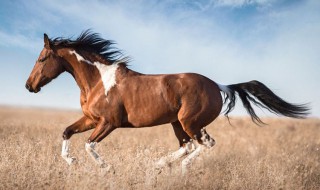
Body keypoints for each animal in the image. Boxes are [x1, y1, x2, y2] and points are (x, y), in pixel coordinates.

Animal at [25, 30, 310, 174]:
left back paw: (178, 168)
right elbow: (67, 132)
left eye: (42, 58)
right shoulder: (91, 119)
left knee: (204, 144)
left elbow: (89, 145)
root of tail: (218, 86)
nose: (29, 86)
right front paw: (71, 162)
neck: (98, 80)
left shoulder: (108, 122)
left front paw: (106, 168)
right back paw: (160, 164)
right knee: (188, 145)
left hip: (189, 122)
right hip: (177, 123)